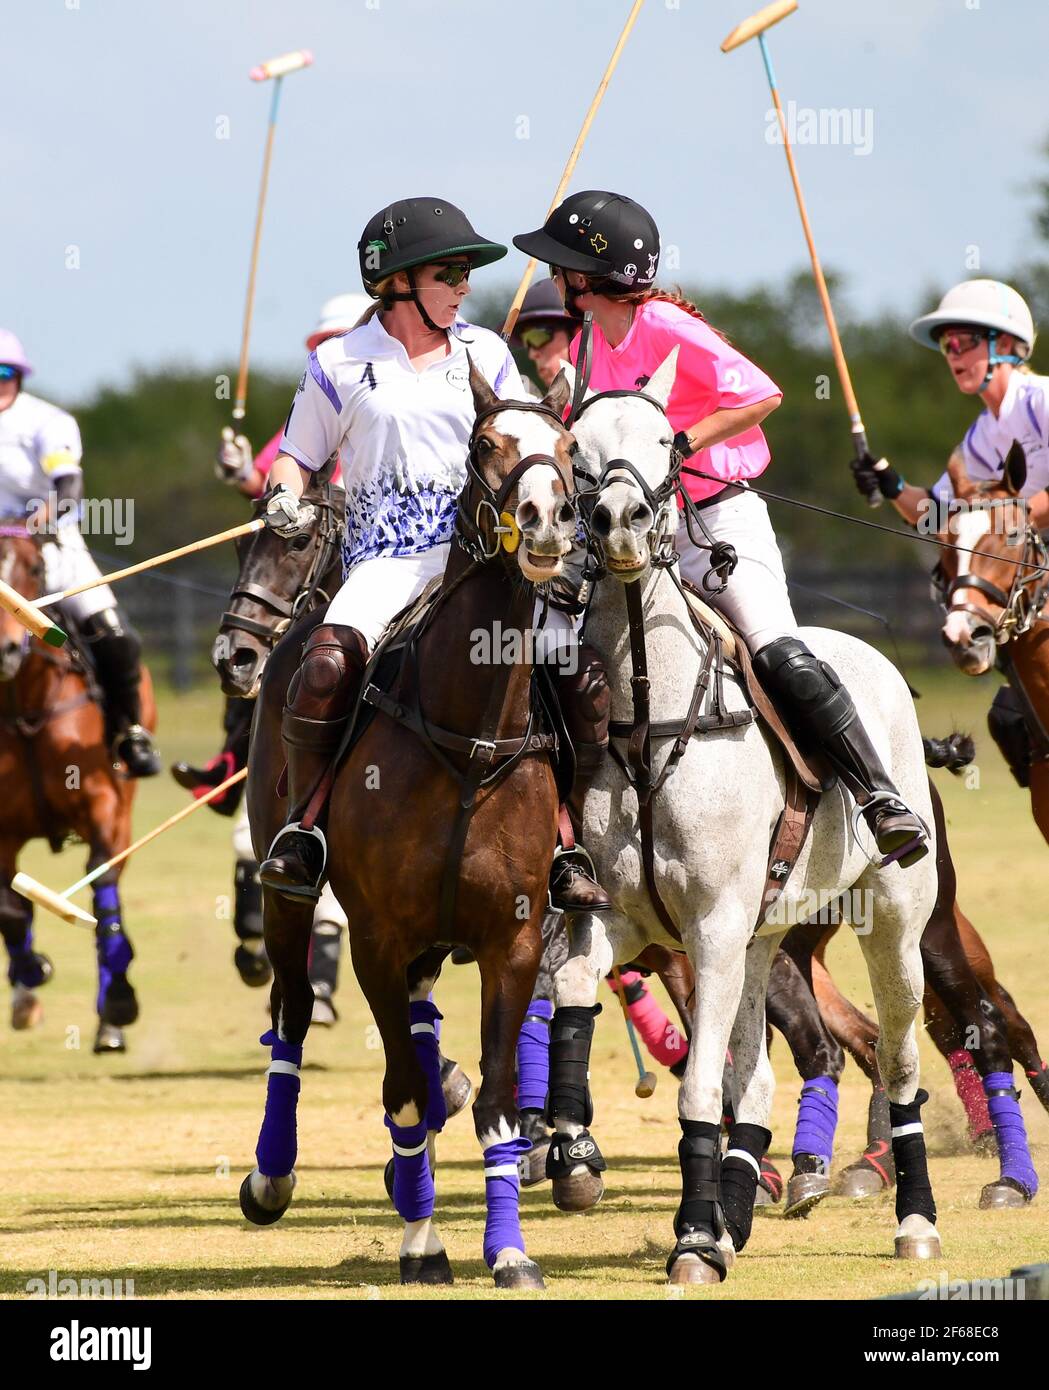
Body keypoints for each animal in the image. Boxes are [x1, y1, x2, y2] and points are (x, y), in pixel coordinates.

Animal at [0, 525, 155, 1045]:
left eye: (34, 568)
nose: (5, 650)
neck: (24, 707)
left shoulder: (102, 806)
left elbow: (102, 889)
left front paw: (120, 1003)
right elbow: (11, 910)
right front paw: (30, 973)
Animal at [240, 361, 583, 1289]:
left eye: (569, 444)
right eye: (484, 442)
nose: (547, 518)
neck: (469, 736)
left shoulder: (513, 938)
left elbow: (493, 1103)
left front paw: (508, 1252)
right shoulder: (376, 937)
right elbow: (399, 1093)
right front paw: (423, 1244)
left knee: (427, 1047)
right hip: (288, 891)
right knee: (291, 1011)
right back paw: (272, 1177)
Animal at [550, 353, 944, 1284]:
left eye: (666, 439)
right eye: (574, 446)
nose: (620, 523)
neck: (647, 714)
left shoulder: (712, 928)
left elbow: (698, 1086)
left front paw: (692, 1244)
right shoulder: (626, 919)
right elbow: (574, 988)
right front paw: (574, 1153)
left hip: (890, 924)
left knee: (900, 1059)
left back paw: (912, 1219)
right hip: (765, 938)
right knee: (757, 1077)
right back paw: (732, 1216)